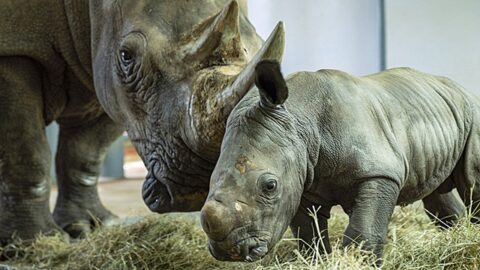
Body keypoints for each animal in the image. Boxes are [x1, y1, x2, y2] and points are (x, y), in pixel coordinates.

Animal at [0, 0, 284, 240]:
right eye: (126, 56)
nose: (196, 190)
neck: (87, 8)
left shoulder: (103, 74)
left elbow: (85, 152)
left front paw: (90, 226)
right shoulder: (14, 50)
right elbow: (27, 153)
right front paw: (35, 240)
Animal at [199, 59, 480, 262]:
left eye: (270, 186)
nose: (231, 252)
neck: (302, 119)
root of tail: (460, 89)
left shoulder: (378, 172)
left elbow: (364, 230)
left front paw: (360, 260)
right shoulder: (302, 180)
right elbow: (309, 235)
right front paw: (318, 260)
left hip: (474, 112)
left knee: (471, 182)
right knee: (436, 192)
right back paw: (455, 234)